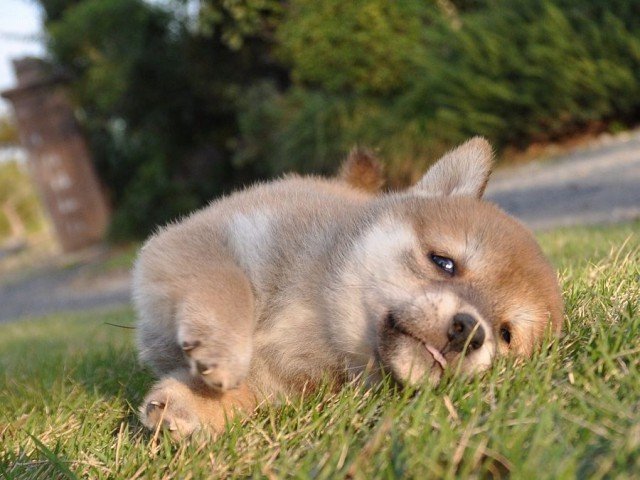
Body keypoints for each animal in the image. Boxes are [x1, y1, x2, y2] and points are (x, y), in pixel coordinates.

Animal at [132, 136, 564, 438]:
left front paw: (196, 405)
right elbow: (227, 284)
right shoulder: (201, 239)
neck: (319, 316)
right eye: (444, 262)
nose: (470, 330)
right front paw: (223, 350)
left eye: (505, 335)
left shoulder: (289, 386)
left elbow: (250, 394)